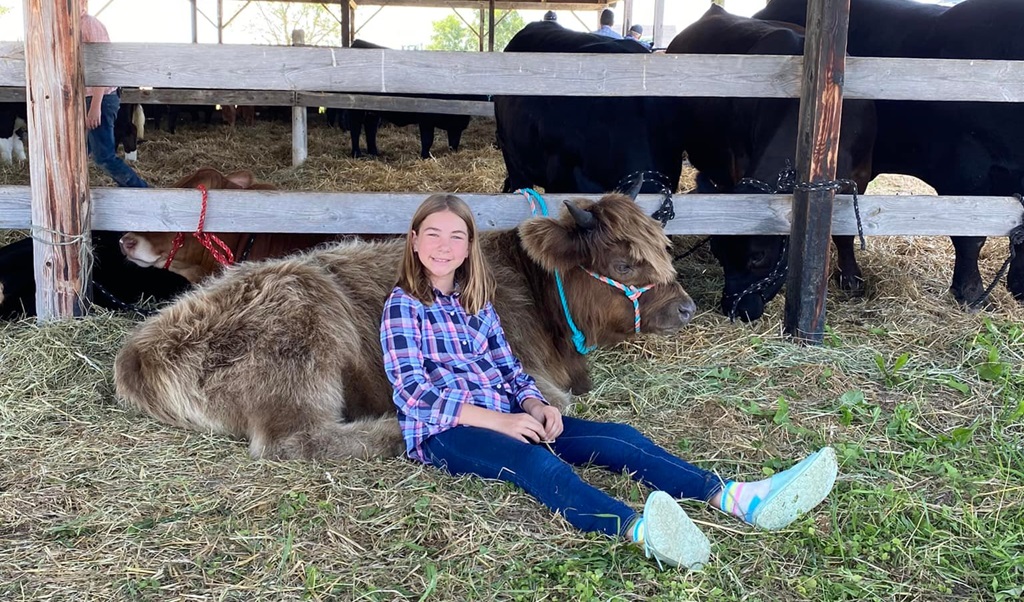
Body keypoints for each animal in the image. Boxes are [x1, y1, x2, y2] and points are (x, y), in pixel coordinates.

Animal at [113, 189, 697, 460]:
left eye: (664, 250)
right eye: (624, 263)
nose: (688, 307)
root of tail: (141, 346)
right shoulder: (539, 379)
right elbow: (555, 402)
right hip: (304, 339)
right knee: (300, 441)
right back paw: (395, 428)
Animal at [667, 5, 877, 321]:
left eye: (758, 255)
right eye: (719, 252)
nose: (736, 309)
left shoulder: (860, 175)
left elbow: (845, 233)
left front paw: (851, 277)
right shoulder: (738, 159)